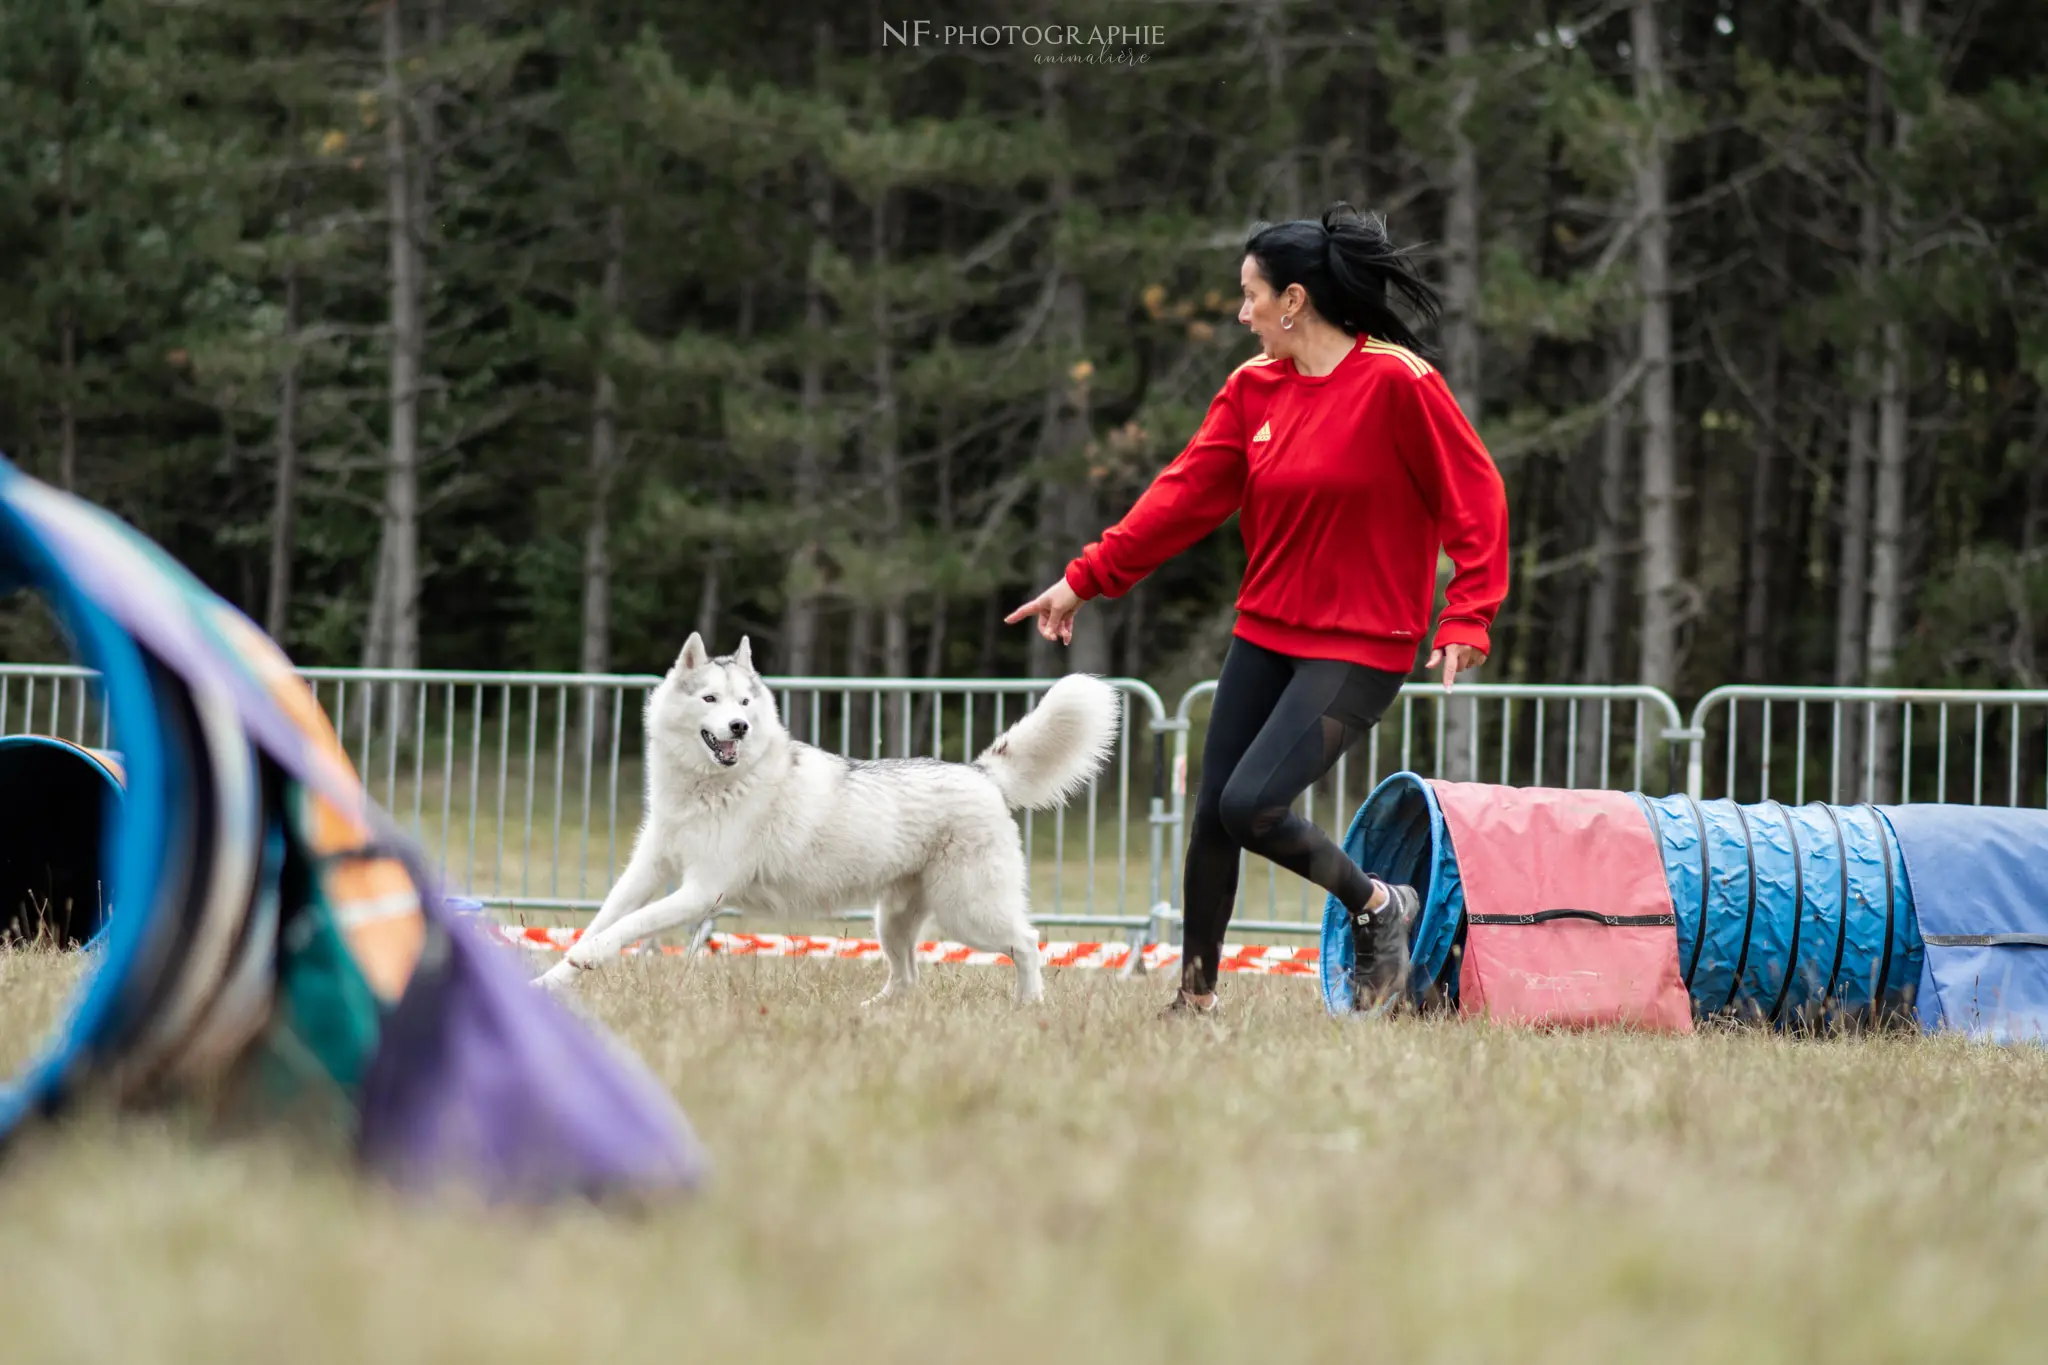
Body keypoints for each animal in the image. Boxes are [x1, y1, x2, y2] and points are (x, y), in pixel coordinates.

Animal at [532, 634, 1122, 1002]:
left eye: (744, 702)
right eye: (711, 699)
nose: (740, 727)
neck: (707, 788)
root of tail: (981, 773)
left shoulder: (702, 892)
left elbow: (626, 928)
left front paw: (587, 958)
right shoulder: (647, 870)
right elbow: (607, 918)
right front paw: (551, 979)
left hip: (969, 915)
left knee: (1027, 942)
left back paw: (1029, 1007)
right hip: (893, 923)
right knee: (907, 979)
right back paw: (871, 1017)